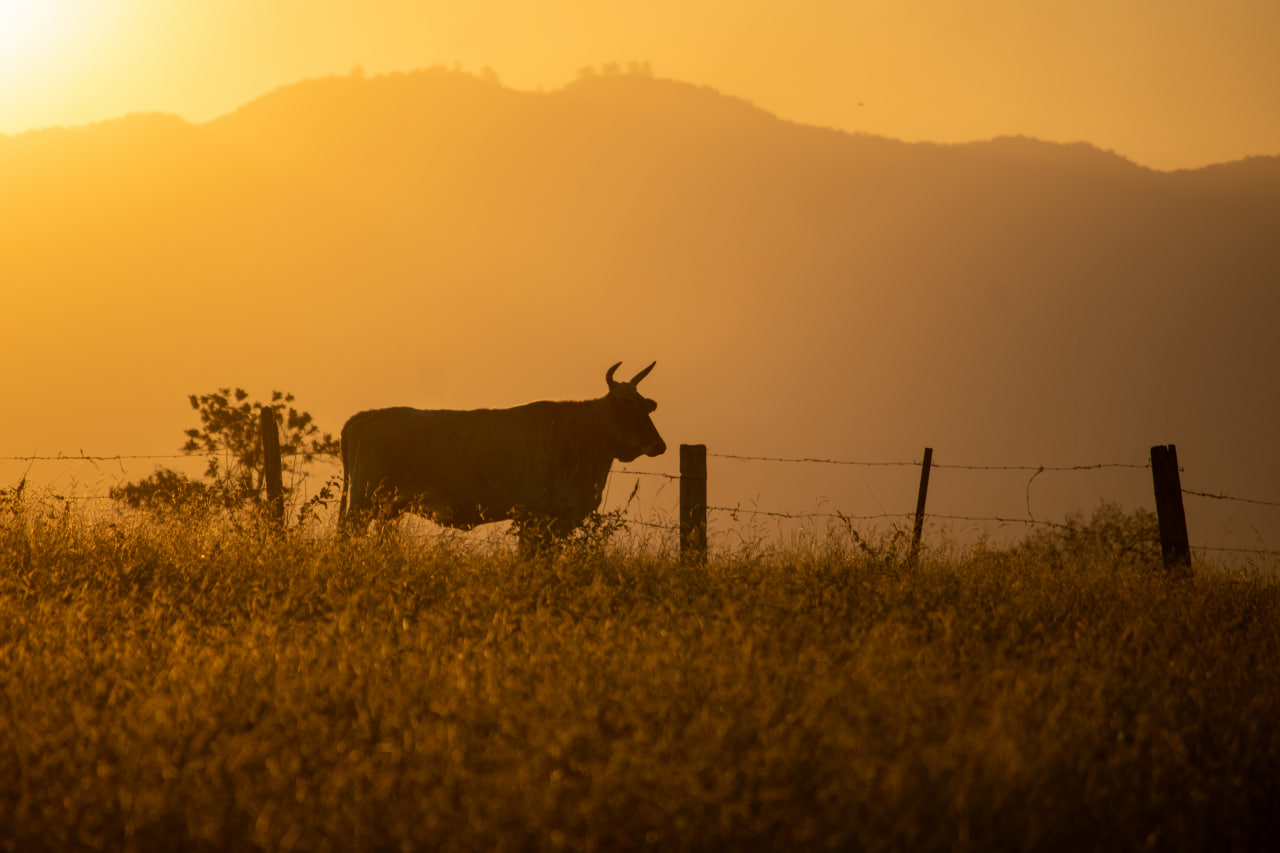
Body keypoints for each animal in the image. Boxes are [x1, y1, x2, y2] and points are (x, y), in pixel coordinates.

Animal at [335, 361, 665, 548]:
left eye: (644, 406)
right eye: (625, 407)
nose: (658, 445)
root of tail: (361, 417)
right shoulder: (535, 517)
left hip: (388, 509)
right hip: (363, 504)